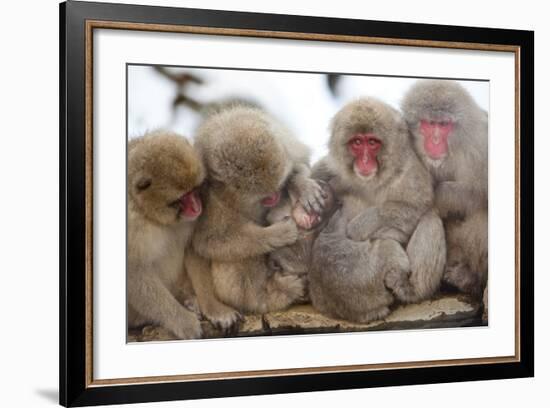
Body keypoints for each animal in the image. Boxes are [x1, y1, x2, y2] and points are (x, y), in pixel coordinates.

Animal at [128, 130, 206, 338]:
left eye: (194, 190)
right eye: (182, 198)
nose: (197, 207)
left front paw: (191, 299)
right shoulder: (133, 226)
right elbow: (134, 271)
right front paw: (182, 321)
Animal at [190, 104, 328, 326]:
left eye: (277, 187)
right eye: (263, 196)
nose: (275, 196)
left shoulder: (287, 145)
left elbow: (300, 163)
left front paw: (301, 186)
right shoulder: (209, 197)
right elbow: (210, 241)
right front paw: (277, 234)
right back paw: (270, 295)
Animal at [310, 98, 448, 322]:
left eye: (373, 142)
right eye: (357, 142)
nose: (365, 161)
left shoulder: (409, 171)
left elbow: (416, 207)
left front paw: (361, 226)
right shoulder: (330, 167)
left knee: (429, 217)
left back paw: (413, 290)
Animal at [404, 80, 490, 296]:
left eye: (443, 125)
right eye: (429, 123)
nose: (435, 141)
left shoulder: (480, 145)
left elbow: (479, 193)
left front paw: (439, 197)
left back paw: (470, 278)